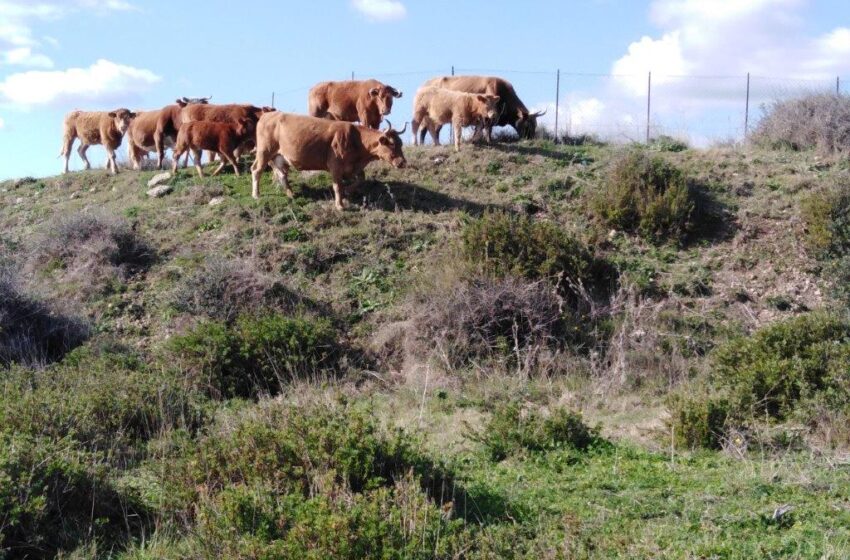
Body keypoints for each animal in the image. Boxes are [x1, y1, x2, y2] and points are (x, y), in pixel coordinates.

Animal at [250, 111, 406, 210]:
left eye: (400, 143)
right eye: (392, 144)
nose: (402, 162)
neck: (356, 138)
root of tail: (267, 115)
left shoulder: (354, 167)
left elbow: (361, 178)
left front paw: (348, 191)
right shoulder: (335, 166)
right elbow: (337, 186)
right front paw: (340, 205)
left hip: (279, 157)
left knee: (282, 174)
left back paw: (290, 194)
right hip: (264, 152)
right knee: (256, 170)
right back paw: (256, 195)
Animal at [420, 75, 548, 141]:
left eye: (535, 124)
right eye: (527, 124)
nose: (531, 138)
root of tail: (427, 83)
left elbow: (481, 129)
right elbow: (487, 128)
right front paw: (488, 140)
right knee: (429, 129)